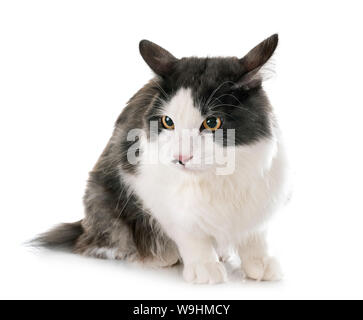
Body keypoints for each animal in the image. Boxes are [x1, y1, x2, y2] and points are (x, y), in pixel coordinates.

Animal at [34, 34, 290, 284]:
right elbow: (190, 233)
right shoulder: (150, 190)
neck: (218, 176)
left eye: (212, 123)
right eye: (168, 122)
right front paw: (205, 268)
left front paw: (261, 263)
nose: (181, 157)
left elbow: (255, 236)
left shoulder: (261, 195)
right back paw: (159, 257)